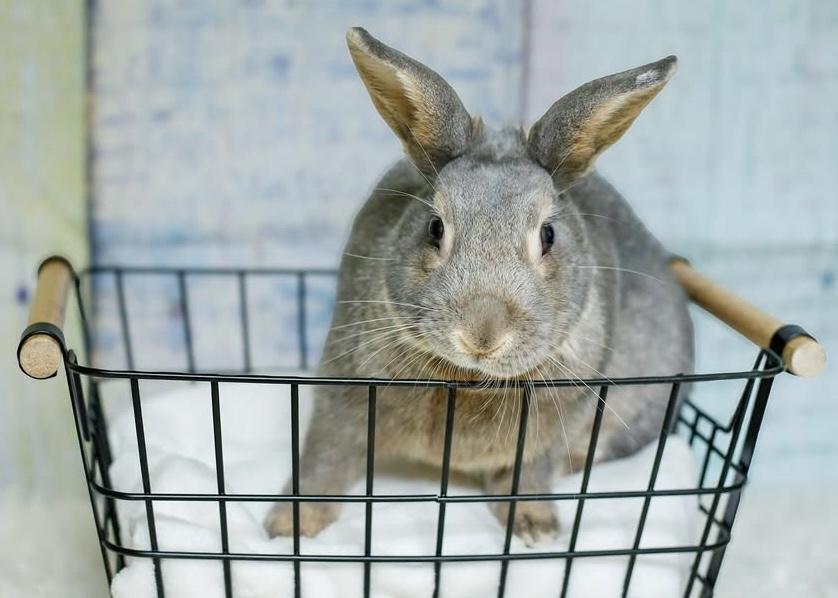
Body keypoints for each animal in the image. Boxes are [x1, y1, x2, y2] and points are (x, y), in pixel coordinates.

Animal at [265, 27, 693, 546]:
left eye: (549, 235)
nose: (481, 334)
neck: (468, 378)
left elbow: (529, 475)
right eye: (434, 227)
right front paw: (291, 526)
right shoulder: (342, 400)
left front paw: (536, 529)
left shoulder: (552, 430)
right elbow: (324, 461)